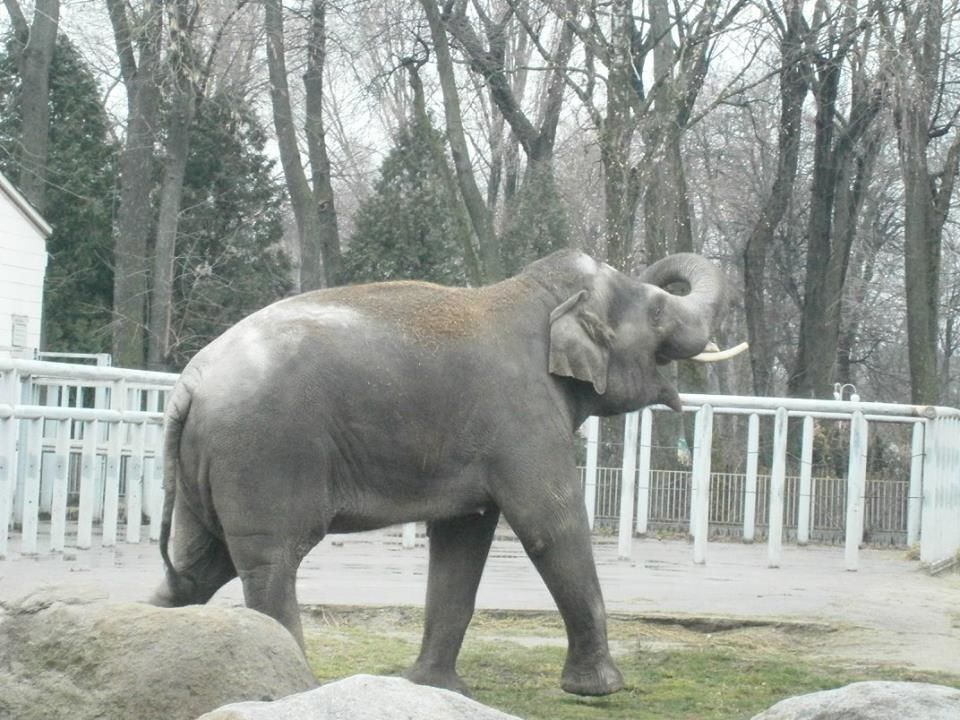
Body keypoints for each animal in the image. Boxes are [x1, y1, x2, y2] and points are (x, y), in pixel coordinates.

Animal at [150, 249, 741, 697]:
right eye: (659, 311)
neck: (538, 296)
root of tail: (190, 382)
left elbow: (463, 539)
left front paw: (434, 688)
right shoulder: (522, 415)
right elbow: (550, 525)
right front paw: (600, 690)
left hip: (213, 463)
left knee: (198, 565)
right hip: (264, 452)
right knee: (269, 562)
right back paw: (296, 685)